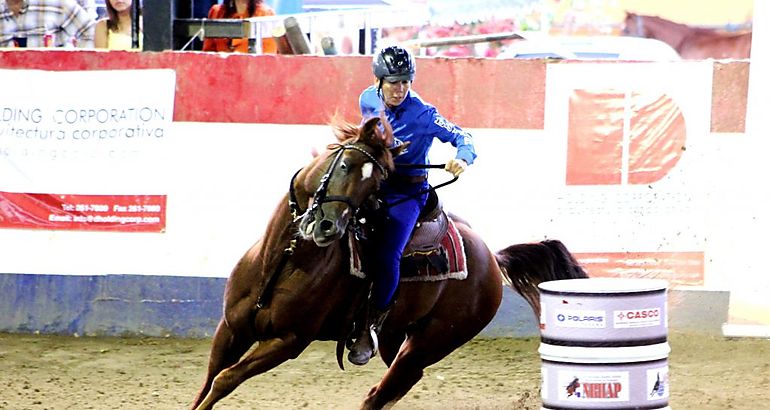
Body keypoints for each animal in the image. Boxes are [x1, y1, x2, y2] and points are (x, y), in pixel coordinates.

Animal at [189, 116, 584, 410]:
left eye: (376, 181)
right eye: (344, 164)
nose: (329, 227)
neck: (282, 261)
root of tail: (491, 255)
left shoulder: (288, 342)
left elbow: (225, 379)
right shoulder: (231, 329)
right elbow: (209, 380)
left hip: (430, 343)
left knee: (382, 392)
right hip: (397, 337)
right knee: (397, 386)